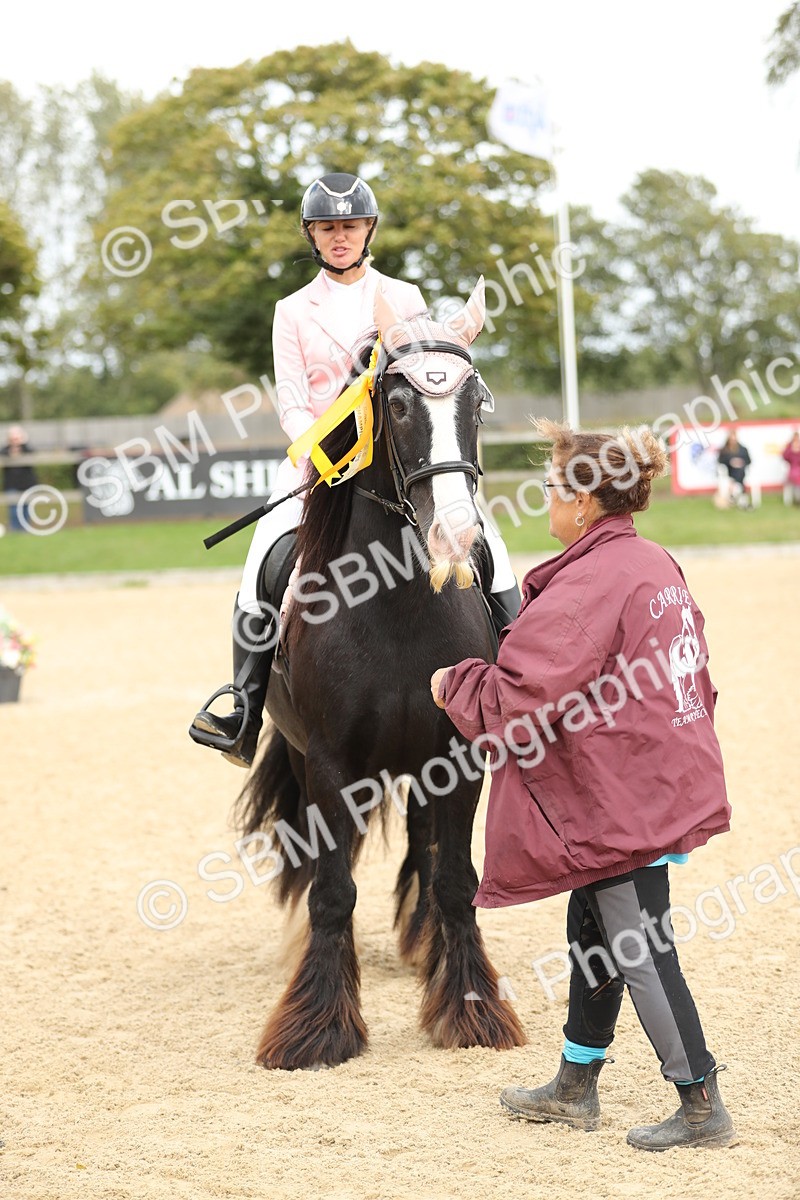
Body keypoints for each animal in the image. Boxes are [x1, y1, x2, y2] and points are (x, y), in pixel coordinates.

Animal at [236, 279, 526, 1070]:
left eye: (477, 403)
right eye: (395, 405)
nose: (456, 536)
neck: (395, 604)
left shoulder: (458, 753)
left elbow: (455, 881)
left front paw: (471, 1012)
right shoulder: (331, 762)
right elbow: (332, 891)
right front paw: (316, 1030)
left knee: (428, 851)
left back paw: (428, 950)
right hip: (304, 756)